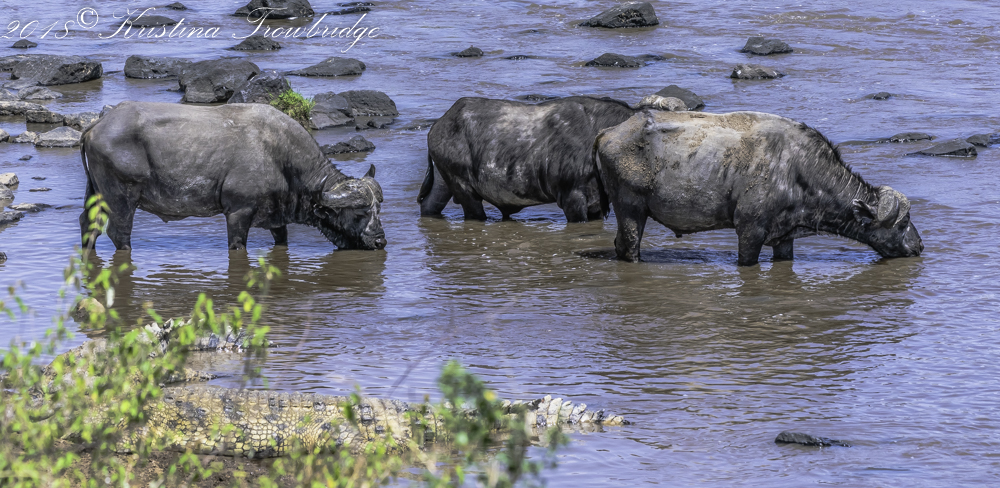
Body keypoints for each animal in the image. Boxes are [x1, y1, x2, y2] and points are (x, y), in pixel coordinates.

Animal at [80, 101, 387, 251]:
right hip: (121, 200)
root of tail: (97, 125)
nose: (380, 241)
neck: (279, 155)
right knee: (118, 233)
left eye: (378, 210)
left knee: (87, 225)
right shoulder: (238, 213)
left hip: (95, 194)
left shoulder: (277, 219)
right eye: (360, 213)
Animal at [595, 110, 923, 265]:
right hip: (630, 210)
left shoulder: (784, 238)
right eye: (903, 222)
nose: (919, 245)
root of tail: (608, 132)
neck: (799, 170)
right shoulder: (749, 232)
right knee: (629, 247)